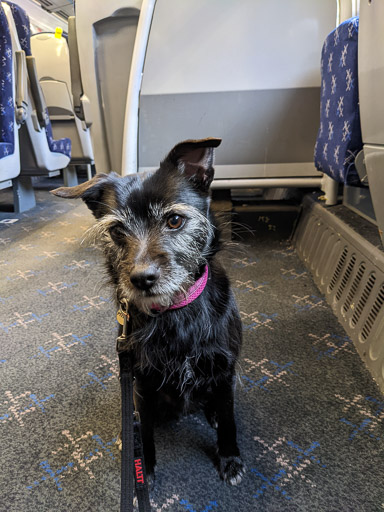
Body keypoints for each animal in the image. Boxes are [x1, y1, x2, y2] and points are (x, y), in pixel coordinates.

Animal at [51, 138, 244, 486]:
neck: (174, 311)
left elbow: (228, 417)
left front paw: (230, 458)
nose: (141, 279)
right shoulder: (140, 379)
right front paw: (143, 466)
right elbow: (146, 430)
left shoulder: (224, 370)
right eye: (116, 231)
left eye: (175, 220)